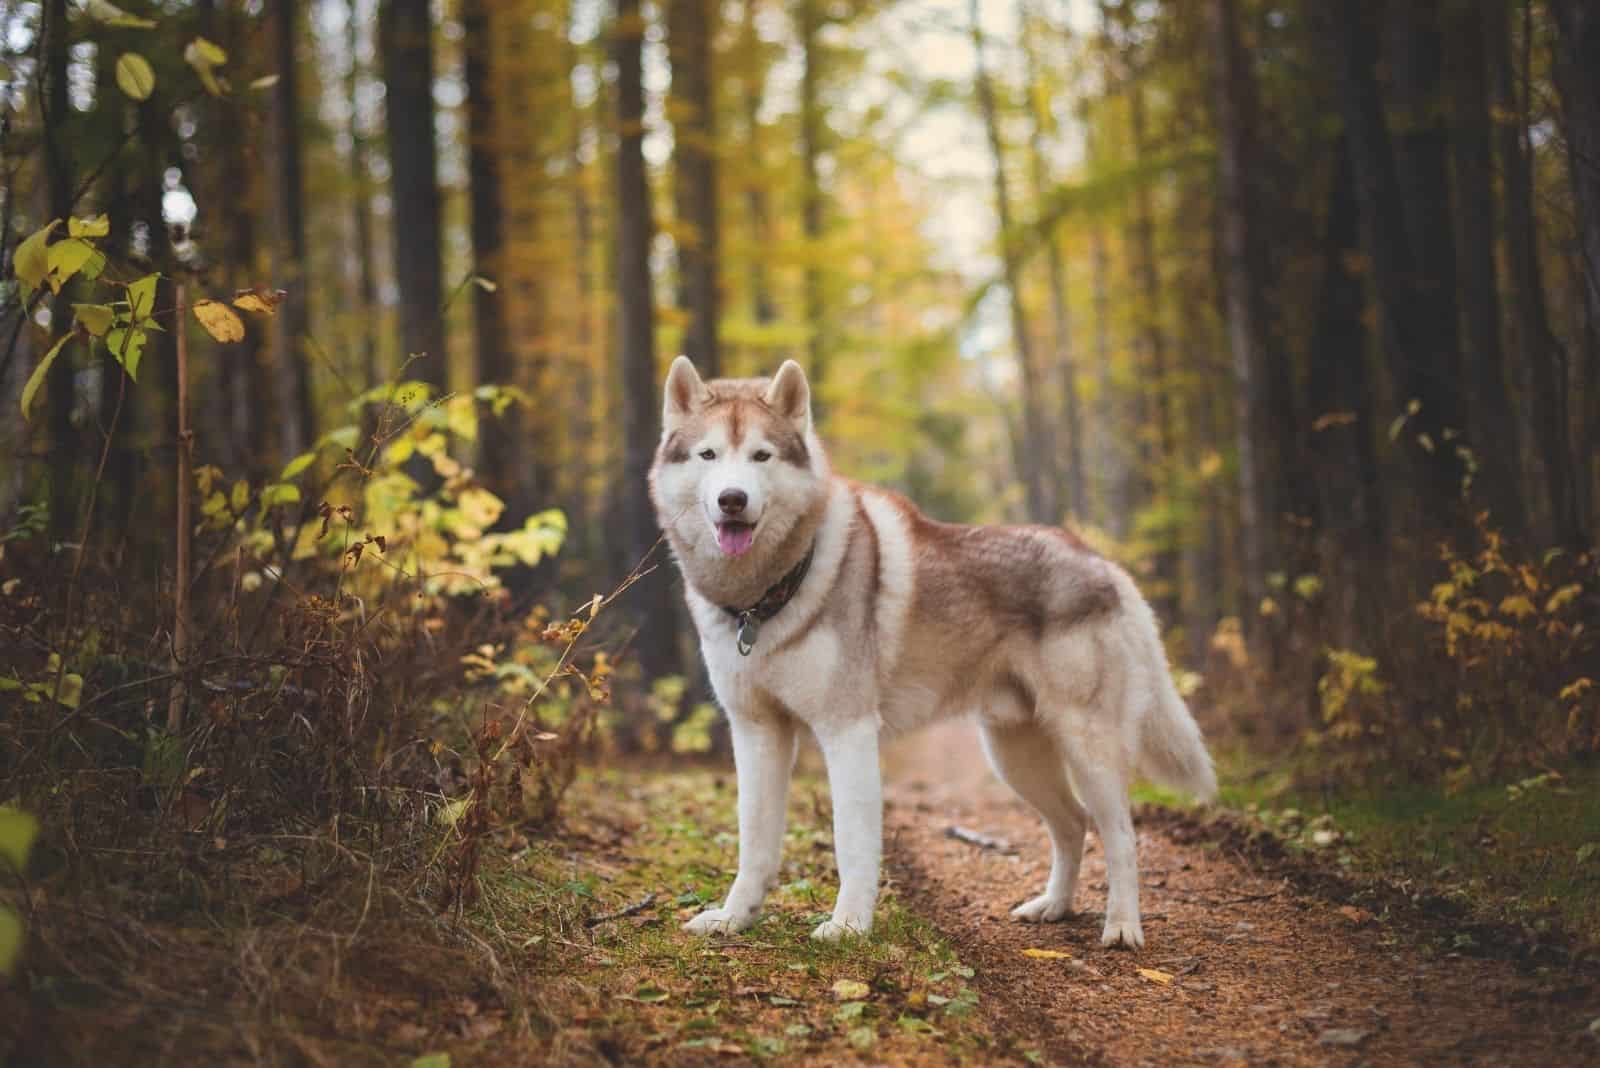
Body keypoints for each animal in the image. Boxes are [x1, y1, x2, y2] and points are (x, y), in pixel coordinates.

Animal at [646, 361, 1209, 952]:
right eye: (709, 455)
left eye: (761, 456)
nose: (732, 499)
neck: (765, 598)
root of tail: (1104, 562)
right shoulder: (756, 732)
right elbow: (754, 840)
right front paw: (734, 918)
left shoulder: (847, 732)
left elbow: (851, 842)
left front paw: (849, 926)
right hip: (1014, 755)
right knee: (1073, 824)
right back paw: (1053, 906)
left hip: (1087, 744)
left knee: (1120, 834)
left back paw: (1122, 926)